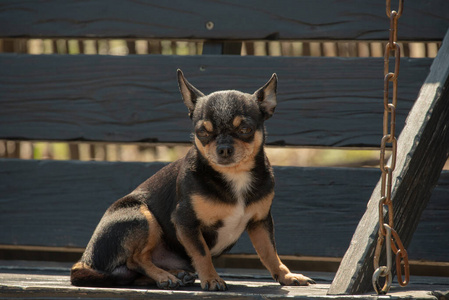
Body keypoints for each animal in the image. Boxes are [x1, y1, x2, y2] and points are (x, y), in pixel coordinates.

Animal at [70, 69, 316, 290]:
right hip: (141, 215)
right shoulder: (186, 221)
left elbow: (269, 252)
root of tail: (84, 260)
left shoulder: (261, 222)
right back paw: (165, 277)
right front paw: (212, 279)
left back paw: (177, 273)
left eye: (245, 129)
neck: (234, 176)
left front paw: (286, 276)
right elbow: (201, 251)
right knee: (135, 259)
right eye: (203, 133)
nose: (224, 148)